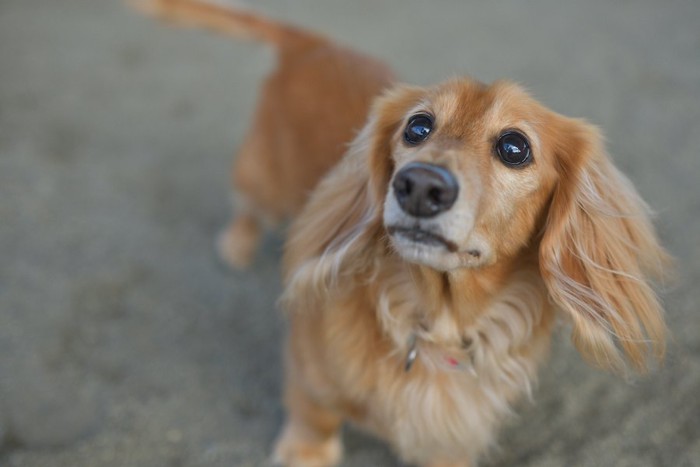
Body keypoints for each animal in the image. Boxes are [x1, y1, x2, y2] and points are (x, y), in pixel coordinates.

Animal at [135, 1, 668, 466]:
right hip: (262, 180)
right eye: (417, 127)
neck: (437, 323)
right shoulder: (308, 366)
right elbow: (314, 411)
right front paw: (305, 451)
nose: (420, 186)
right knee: (248, 207)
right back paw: (237, 245)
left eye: (515, 147)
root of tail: (315, 44)